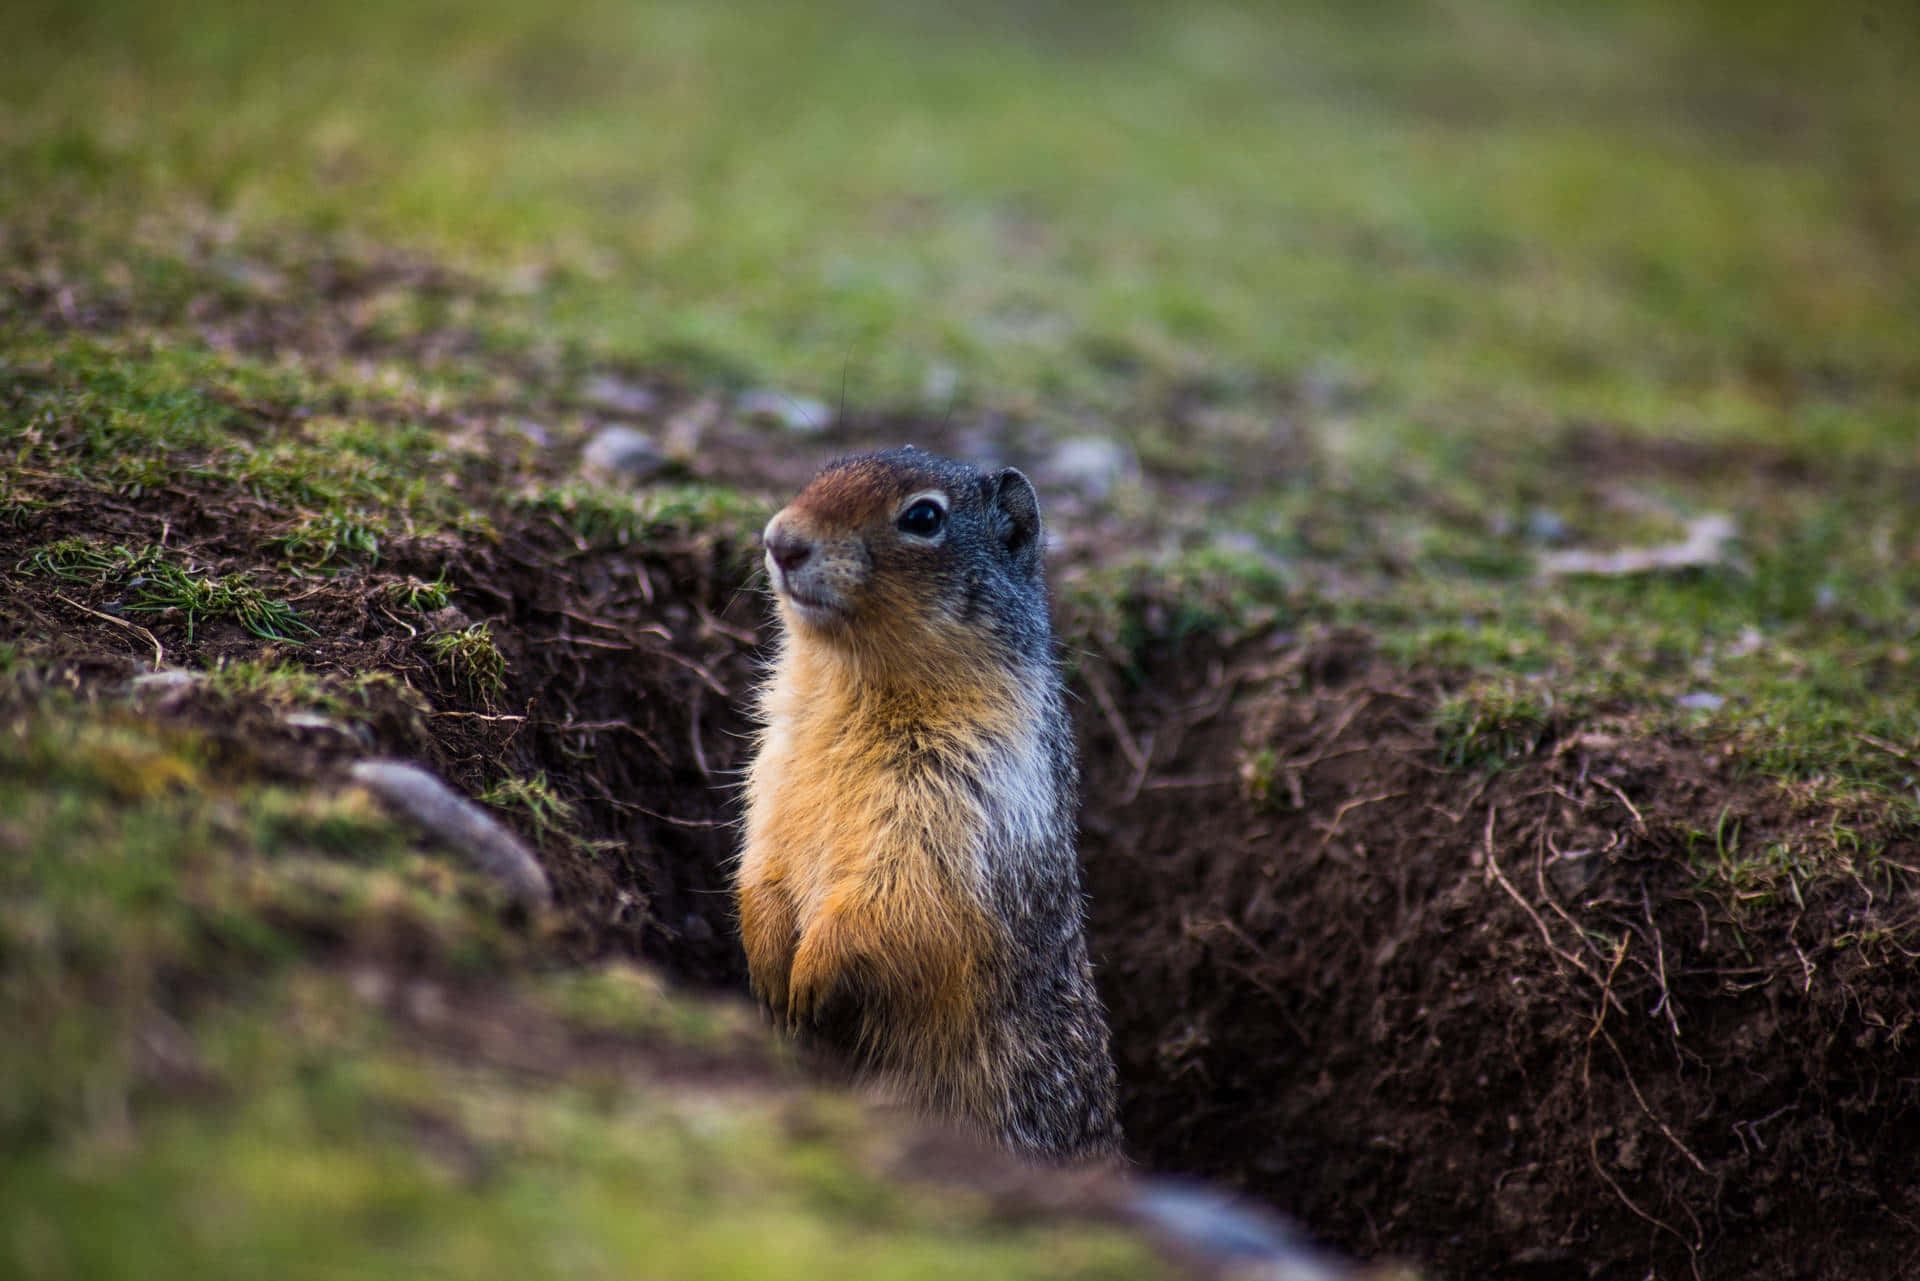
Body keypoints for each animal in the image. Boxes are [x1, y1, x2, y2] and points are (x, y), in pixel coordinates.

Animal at [733, 449, 1121, 1160]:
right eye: (822, 471)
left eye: (923, 517)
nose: (780, 541)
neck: (852, 683)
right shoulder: (774, 760)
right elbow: (762, 853)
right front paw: (771, 967)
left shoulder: (965, 789)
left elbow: (906, 890)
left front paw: (807, 979)